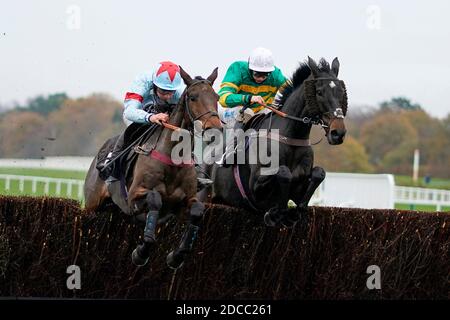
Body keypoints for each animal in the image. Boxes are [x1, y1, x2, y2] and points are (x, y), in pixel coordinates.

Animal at [83, 67, 222, 268]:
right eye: (193, 97)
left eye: (216, 97)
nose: (215, 129)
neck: (172, 160)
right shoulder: (134, 196)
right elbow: (155, 199)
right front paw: (140, 253)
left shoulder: (185, 201)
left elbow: (197, 211)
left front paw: (176, 256)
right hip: (92, 204)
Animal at [200, 57, 348, 228]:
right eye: (319, 92)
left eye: (342, 92)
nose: (338, 133)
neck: (289, 138)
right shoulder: (255, 187)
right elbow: (283, 172)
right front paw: (276, 213)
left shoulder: (299, 188)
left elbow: (319, 173)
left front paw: (294, 212)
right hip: (205, 196)